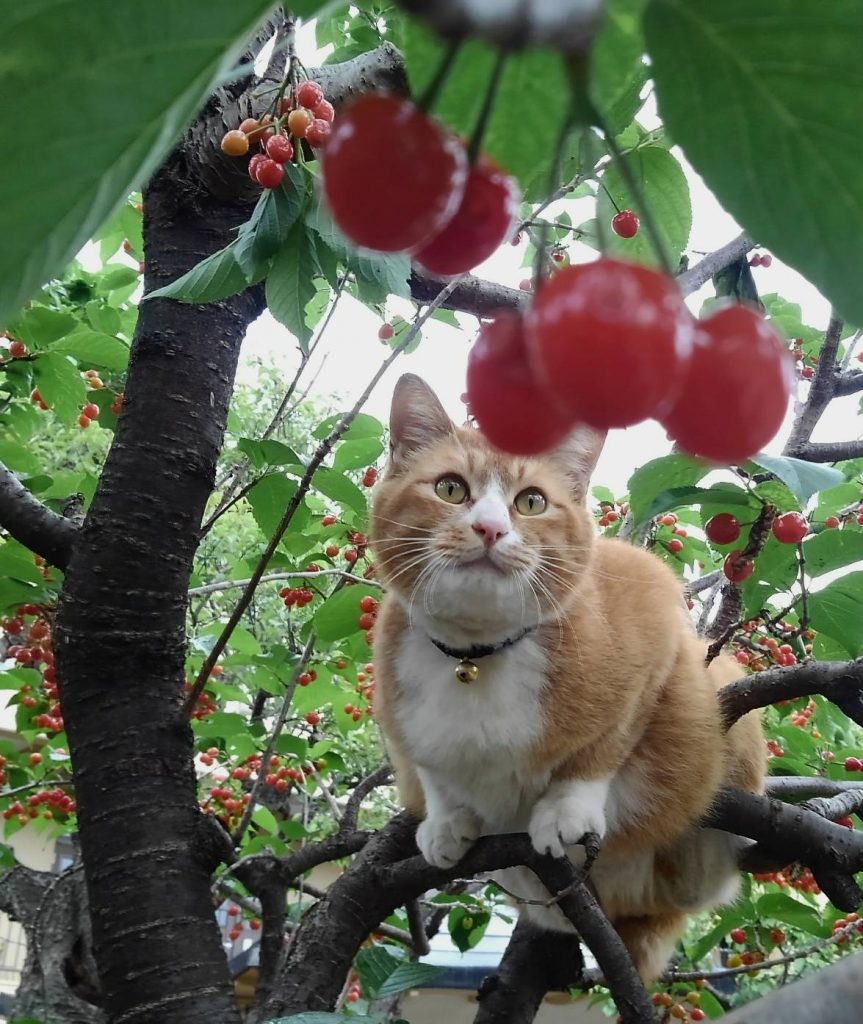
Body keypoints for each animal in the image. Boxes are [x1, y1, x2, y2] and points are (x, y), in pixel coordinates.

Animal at [370, 374, 761, 974]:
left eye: (531, 502)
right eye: (451, 489)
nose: (489, 528)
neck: (476, 657)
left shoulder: (652, 616)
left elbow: (605, 745)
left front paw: (565, 808)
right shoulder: (400, 721)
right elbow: (432, 769)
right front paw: (445, 819)